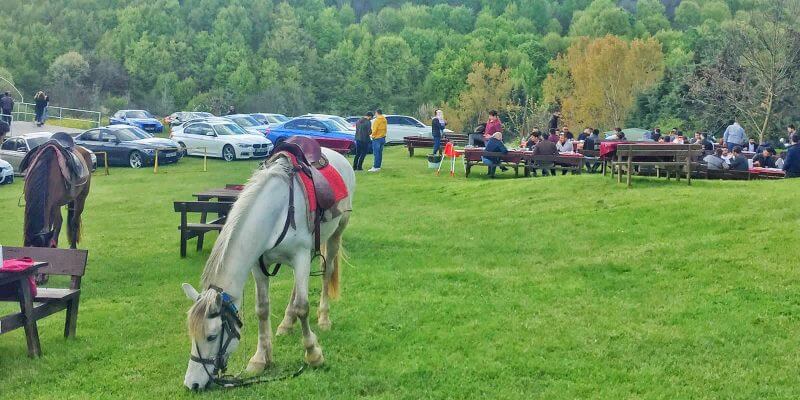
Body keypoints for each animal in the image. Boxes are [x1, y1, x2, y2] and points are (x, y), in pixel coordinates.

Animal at [183, 148, 358, 390]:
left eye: (211, 336)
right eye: (191, 333)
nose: (192, 384)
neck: (278, 211)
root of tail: (337, 155)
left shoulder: (301, 256)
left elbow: (303, 307)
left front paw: (313, 354)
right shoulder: (260, 266)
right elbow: (262, 309)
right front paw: (260, 359)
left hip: (335, 235)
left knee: (326, 272)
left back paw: (323, 319)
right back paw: (286, 323)